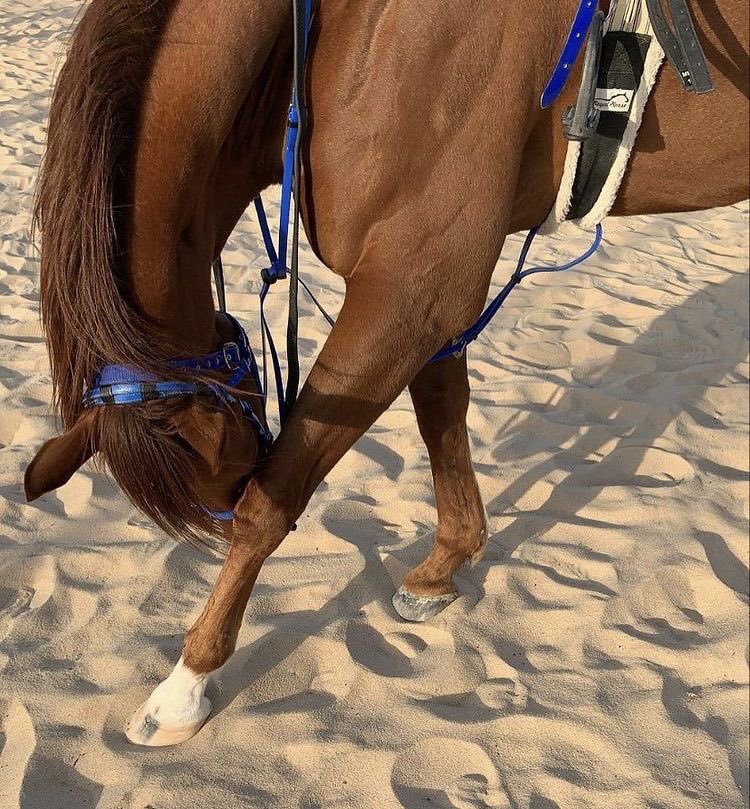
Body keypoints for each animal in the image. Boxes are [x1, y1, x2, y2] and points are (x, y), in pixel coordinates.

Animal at [24, 0, 748, 746]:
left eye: (230, 471)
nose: (242, 464)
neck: (348, 29)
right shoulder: (424, 295)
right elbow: (441, 420)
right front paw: (443, 565)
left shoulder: (412, 287)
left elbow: (272, 502)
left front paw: (186, 682)